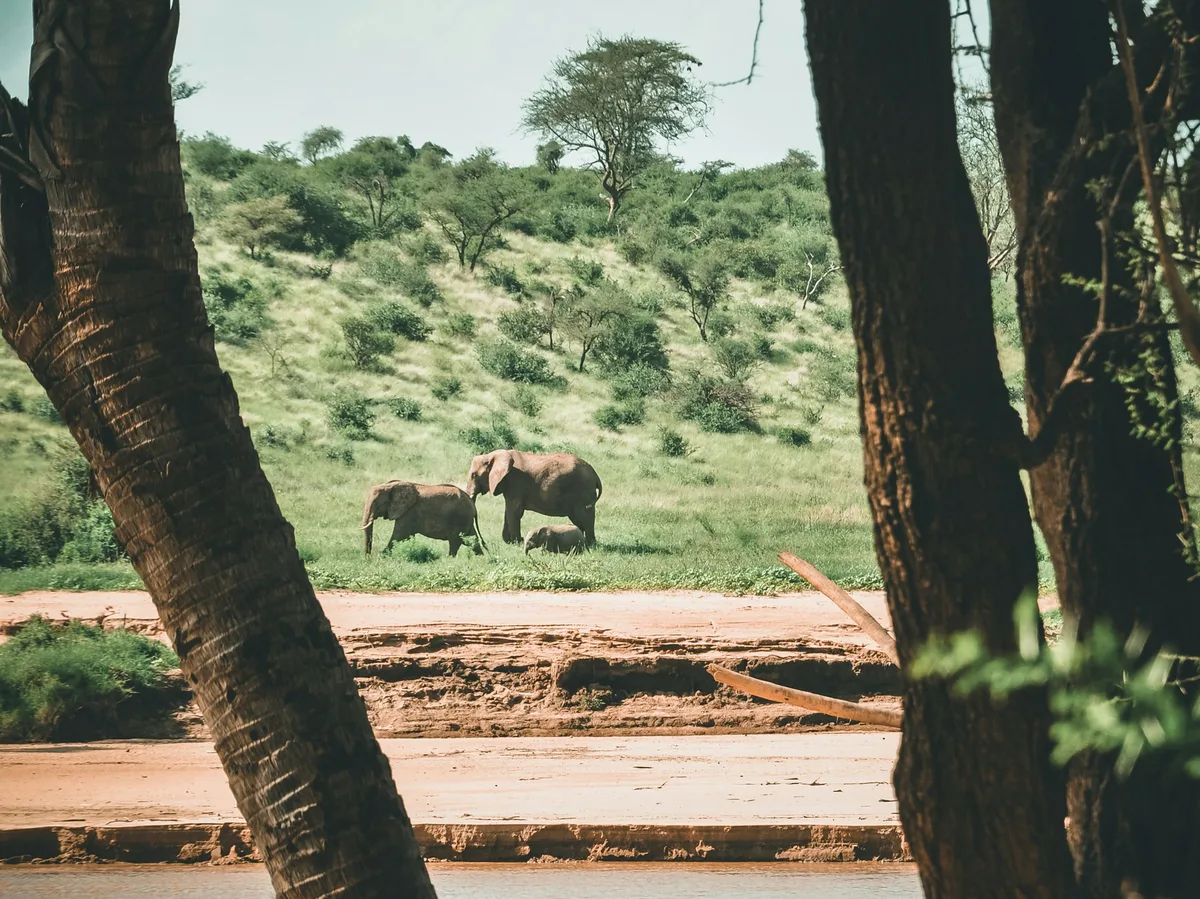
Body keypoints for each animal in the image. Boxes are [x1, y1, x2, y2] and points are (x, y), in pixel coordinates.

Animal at [465, 450, 602, 546]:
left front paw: (516, 542)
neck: (493, 455)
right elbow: (509, 510)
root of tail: (595, 475)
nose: (483, 542)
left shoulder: (515, 482)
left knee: (585, 517)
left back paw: (590, 544)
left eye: (474, 475)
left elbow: (514, 510)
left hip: (583, 491)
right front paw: (509, 541)